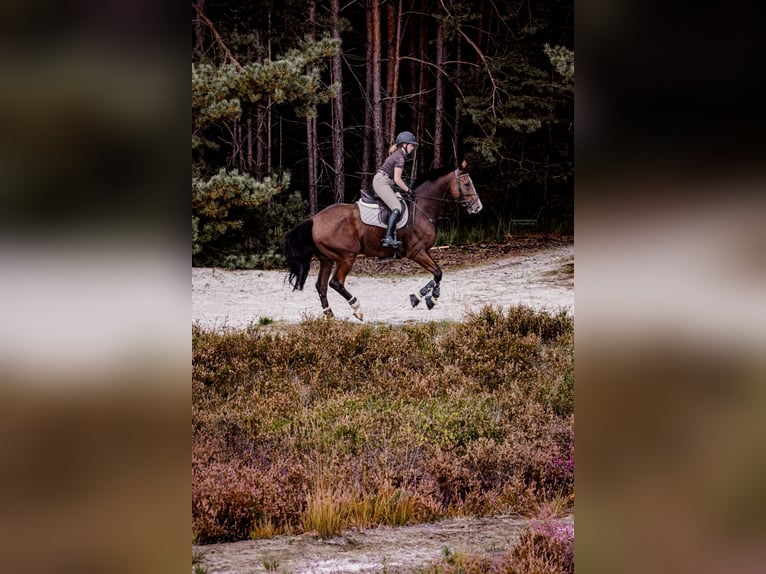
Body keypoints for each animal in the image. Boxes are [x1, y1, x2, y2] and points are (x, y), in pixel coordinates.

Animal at [284, 162, 484, 322]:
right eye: (467, 184)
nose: (478, 207)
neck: (422, 207)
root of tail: (314, 219)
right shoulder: (416, 252)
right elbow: (438, 273)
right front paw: (427, 298)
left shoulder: (424, 251)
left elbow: (437, 274)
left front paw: (424, 297)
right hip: (347, 256)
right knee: (336, 283)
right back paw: (357, 308)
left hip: (327, 258)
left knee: (322, 286)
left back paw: (329, 314)